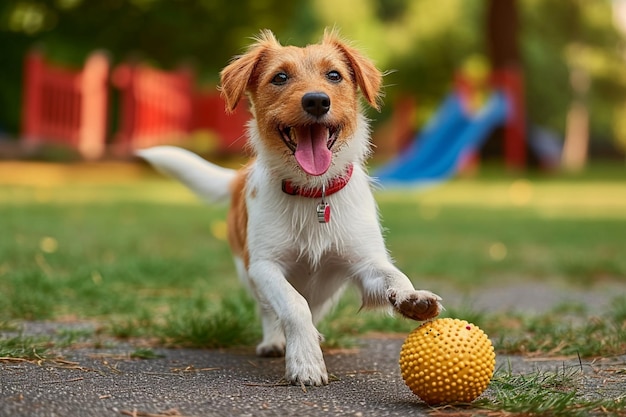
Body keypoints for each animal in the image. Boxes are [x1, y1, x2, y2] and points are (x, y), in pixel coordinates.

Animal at [138, 30, 438, 386]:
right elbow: (294, 306)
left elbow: (394, 275)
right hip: (248, 275)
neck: (313, 193)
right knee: (271, 311)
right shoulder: (264, 266)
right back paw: (275, 341)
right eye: (280, 77)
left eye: (334, 75)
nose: (317, 101)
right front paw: (305, 361)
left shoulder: (364, 264)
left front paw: (412, 298)